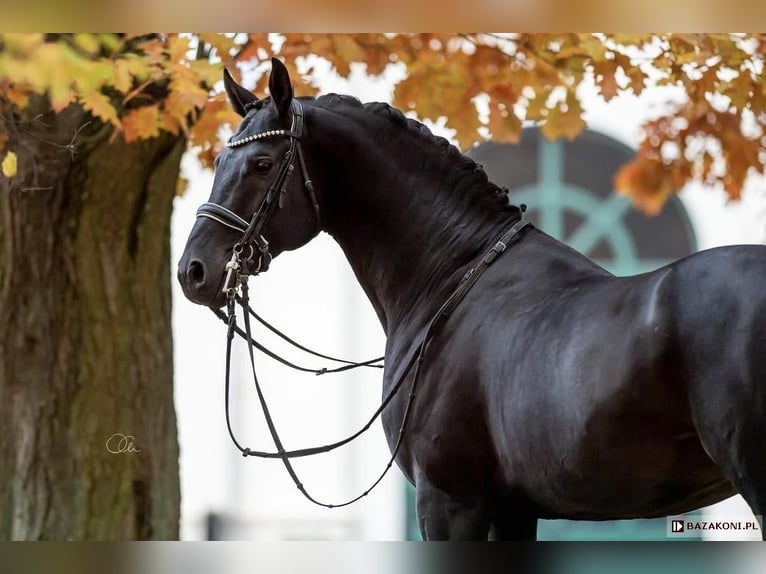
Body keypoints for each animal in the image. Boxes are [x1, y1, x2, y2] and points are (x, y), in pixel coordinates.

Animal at [180, 60, 766, 544]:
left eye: (261, 163)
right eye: (218, 160)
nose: (193, 271)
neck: (452, 277)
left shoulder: (449, 499)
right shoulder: (513, 508)